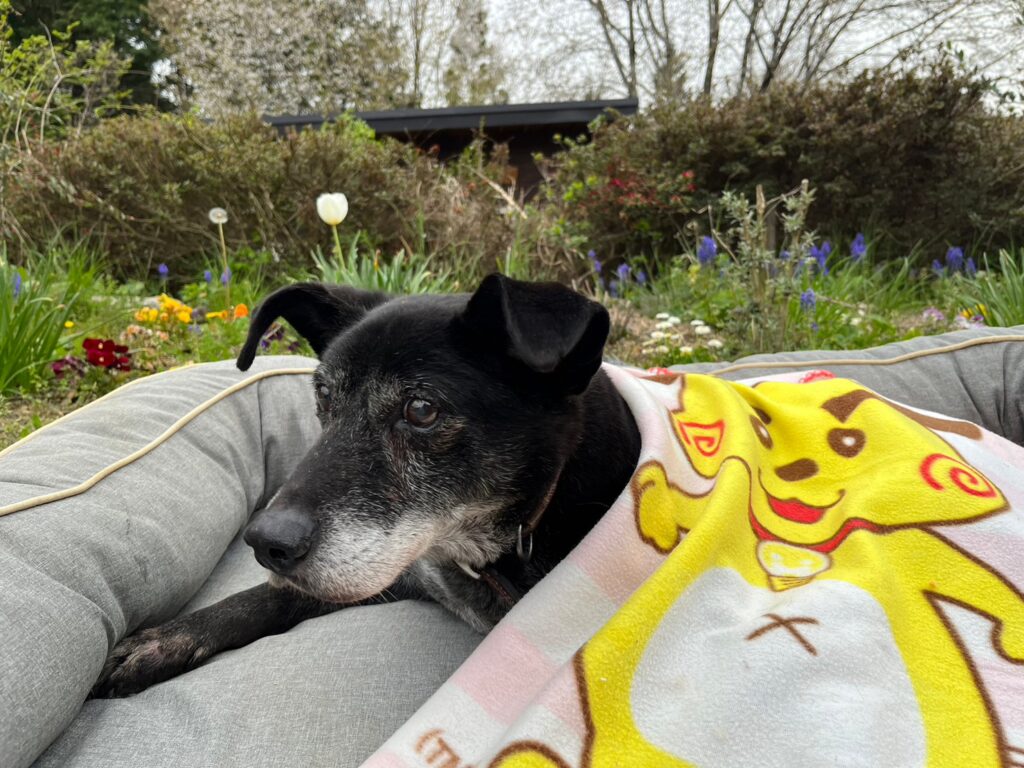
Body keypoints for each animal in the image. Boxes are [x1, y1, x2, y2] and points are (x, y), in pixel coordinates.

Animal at [90, 274, 641, 698]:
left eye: (421, 409)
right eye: (323, 396)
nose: (266, 542)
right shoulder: (395, 572)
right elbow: (268, 595)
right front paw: (163, 641)